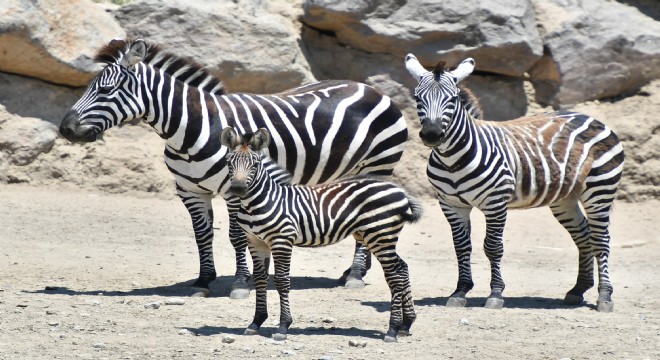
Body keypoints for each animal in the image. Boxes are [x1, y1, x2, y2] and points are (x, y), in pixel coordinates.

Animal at [58, 38, 408, 298]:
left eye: (105, 90)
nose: (65, 129)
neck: (188, 131)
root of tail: (370, 88)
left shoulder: (234, 190)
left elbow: (237, 236)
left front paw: (241, 284)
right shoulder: (190, 191)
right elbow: (202, 235)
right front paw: (203, 280)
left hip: (379, 165)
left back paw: (356, 275)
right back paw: (353, 272)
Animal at [219, 127, 420, 344]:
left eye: (255, 165)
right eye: (229, 163)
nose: (238, 189)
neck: (261, 201)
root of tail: (400, 191)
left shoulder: (282, 239)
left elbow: (281, 280)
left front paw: (283, 326)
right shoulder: (256, 242)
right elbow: (260, 279)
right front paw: (256, 322)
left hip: (381, 234)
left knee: (394, 275)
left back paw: (392, 329)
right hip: (373, 236)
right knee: (402, 268)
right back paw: (406, 324)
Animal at [404, 53, 628, 312]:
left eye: (452, 99)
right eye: (417, 98)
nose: (431, 134)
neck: (452, 160)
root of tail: (589, 116)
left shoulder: (495, 203)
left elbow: (493, 247)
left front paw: (496, 294)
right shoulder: (451, 205)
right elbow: (461, 247)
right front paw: (460, 291)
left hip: (600, 189)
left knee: (601, 239)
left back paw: (605, 296)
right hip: (565, 198)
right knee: (583, 235)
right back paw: (578, 289)